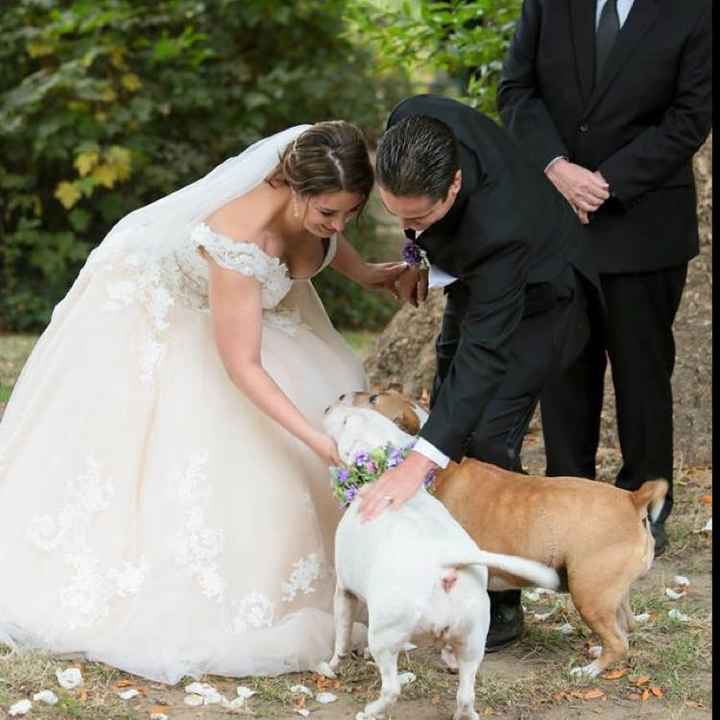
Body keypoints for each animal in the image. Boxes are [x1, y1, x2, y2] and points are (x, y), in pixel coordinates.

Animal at [324, 404, 560, 720]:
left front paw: (333, 665)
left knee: (392, 689)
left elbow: (341, 634)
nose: (329, 405)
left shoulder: (344, 591)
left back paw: (371, 710)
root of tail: (445, 566)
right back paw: (464, 709)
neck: (382, 477)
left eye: (347, 420)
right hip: (473, 640)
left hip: (384, 637)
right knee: (466, 693)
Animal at [346, 390, 668, 676]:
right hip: (610, 593)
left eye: (374, 399)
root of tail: (632, 499)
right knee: (626, 626)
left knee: (619, 642)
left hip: (589, 594)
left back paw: (589, 671)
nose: (340, 398)